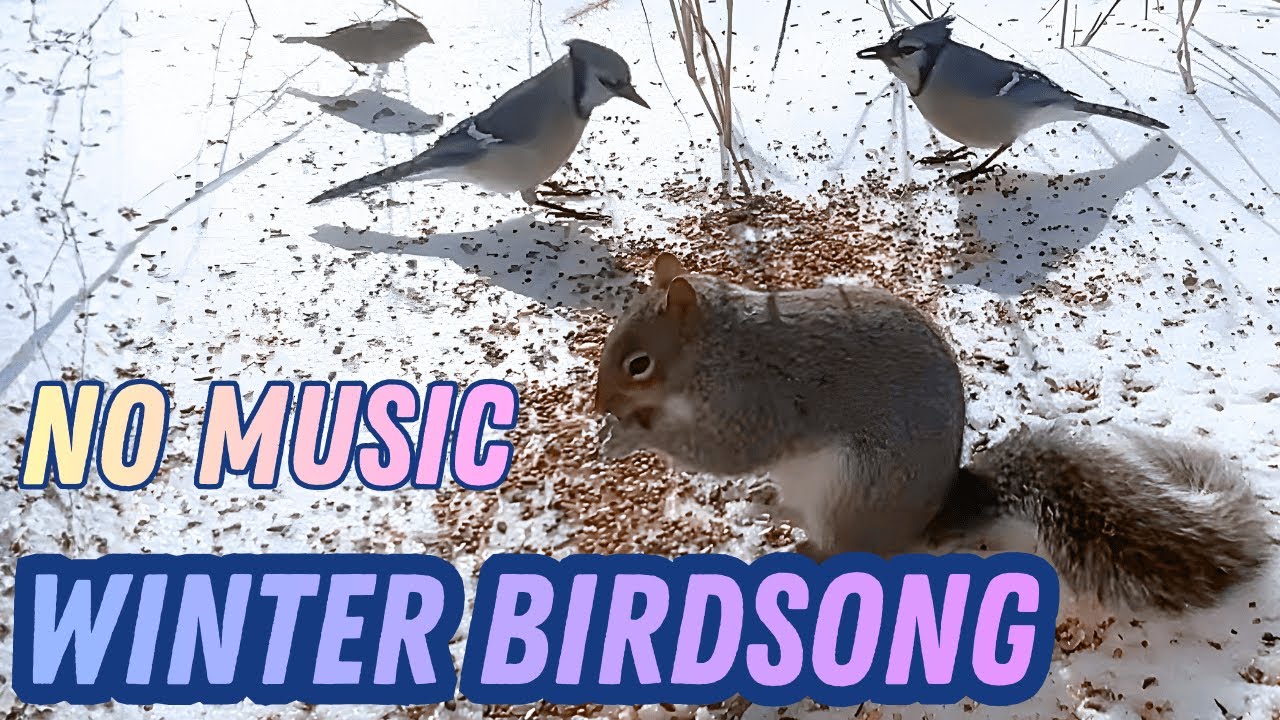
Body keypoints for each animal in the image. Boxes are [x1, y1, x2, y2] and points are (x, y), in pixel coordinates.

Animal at [593, 253, 1272, 613]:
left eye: (639, 364)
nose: (600, 401)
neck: (720, 349)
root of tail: (924, 524)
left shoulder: (760, 402)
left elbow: (726, 451)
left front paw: (631, 435)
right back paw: (769, 504)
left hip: (853, 489)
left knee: (848, 552)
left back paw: (803, 554)